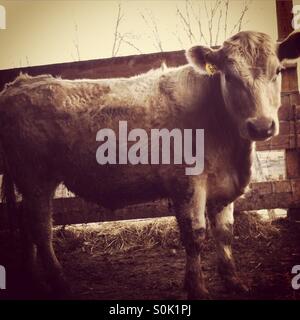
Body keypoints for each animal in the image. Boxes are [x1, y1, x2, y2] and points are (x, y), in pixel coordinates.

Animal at [0, 30, 298, 298]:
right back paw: (59, 284)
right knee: (40, 229)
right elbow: (195, 236)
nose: (261, 126)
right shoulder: (187, 184)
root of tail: (19, 83)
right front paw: (197, 288)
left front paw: (234, 282)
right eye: (230, 76)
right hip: (36, 179)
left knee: (27, 226)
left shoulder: (222, 187)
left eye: (277, 71)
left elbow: (224, 234)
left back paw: (34, 281)